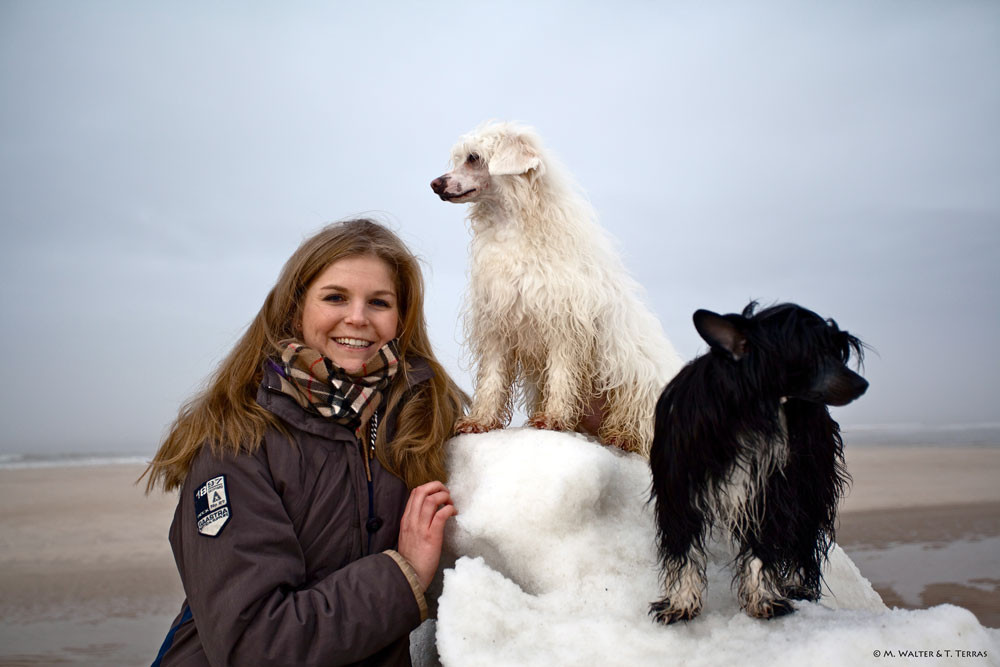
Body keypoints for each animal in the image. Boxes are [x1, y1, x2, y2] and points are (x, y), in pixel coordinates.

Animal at [430, 121, 680, 460]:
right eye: (460, 158)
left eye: (474, 158)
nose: (435, 184)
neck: (513, 231)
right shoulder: (498, 325)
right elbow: (492, 380)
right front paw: (481, 420)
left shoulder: (564, 324)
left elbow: (561, 375)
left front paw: (553, 418)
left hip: (633, 379)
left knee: (638, 428)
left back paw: (622, 436)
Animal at [648, 306, 868, 624]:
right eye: (810, 352)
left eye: (837, 350)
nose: (863, 384)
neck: (748, 413)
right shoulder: (678, 493)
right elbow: (683, 550)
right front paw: (681, 601)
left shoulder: (769, 492)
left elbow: (762, 550)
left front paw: (763, 598)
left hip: (810, 485)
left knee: (804, 541)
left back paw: (798, 585)